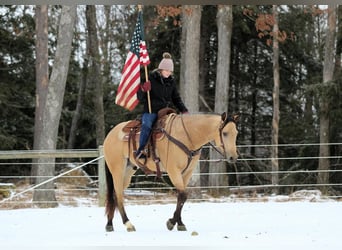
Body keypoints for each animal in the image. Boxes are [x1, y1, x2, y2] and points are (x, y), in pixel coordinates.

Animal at [103, 112, 239, 232]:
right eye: (225, 133)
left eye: (236, 133)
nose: (233, 157)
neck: (187, 136)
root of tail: (109, 135)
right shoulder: (173, 170)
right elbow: (183, 195)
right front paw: (171, 222)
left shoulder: (187, 173)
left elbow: (181, 197)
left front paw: (179, 223)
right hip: (117, 170)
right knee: (118, 195)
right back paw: (128, 224)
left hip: (128, 171)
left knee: (114, 195)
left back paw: (109, 224)